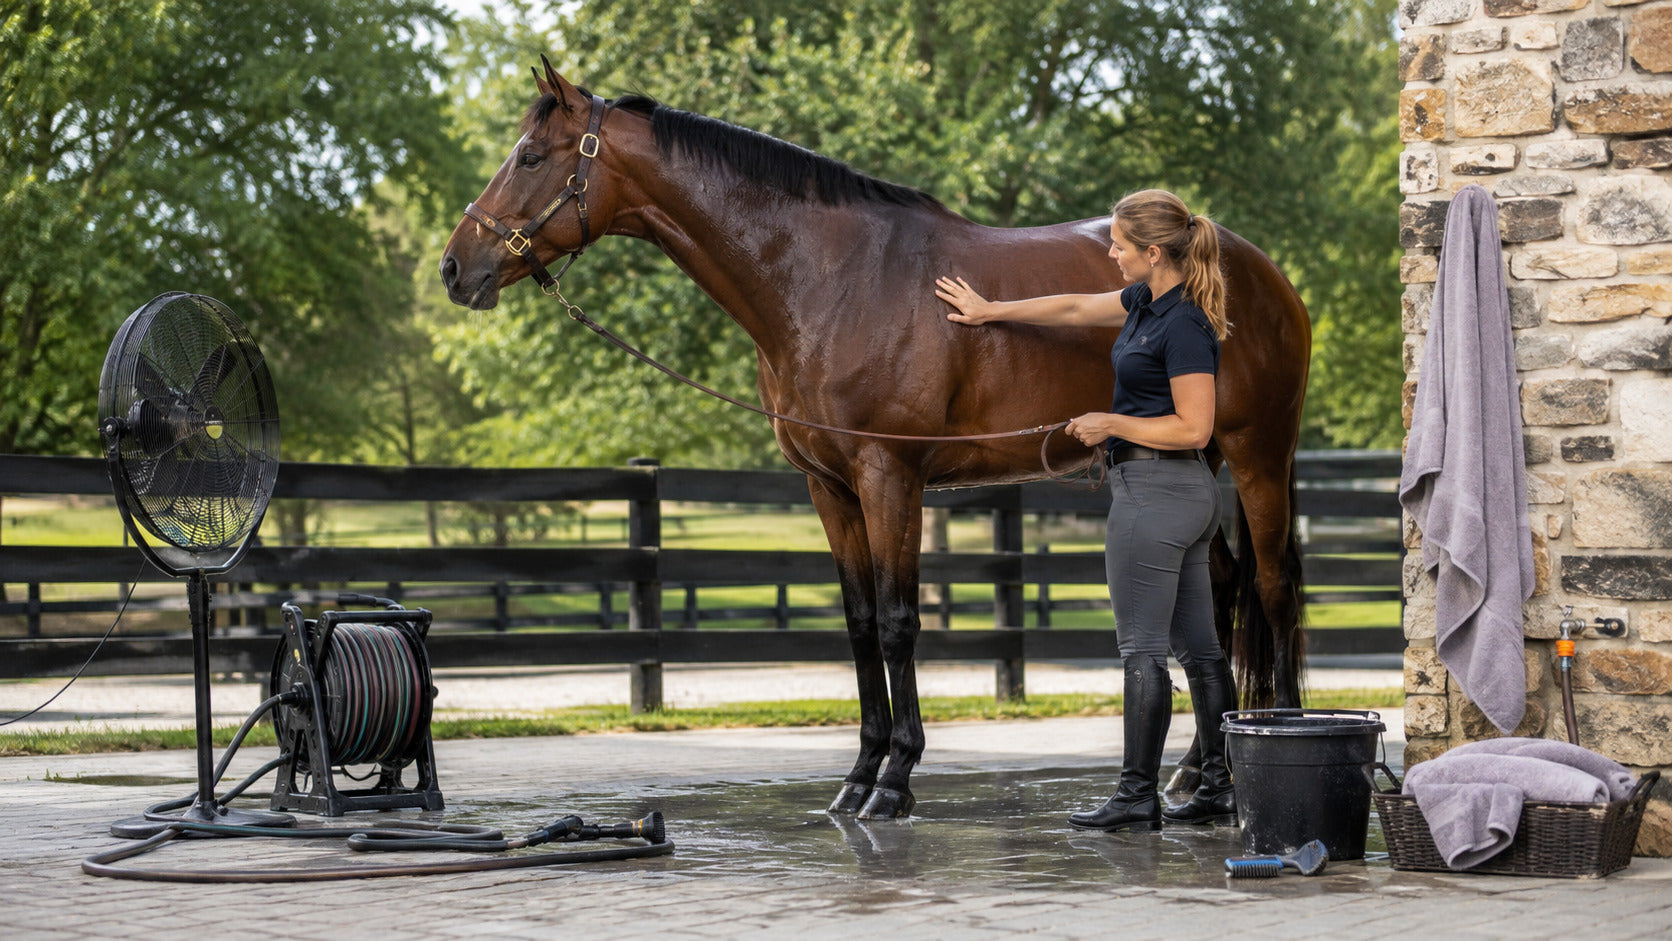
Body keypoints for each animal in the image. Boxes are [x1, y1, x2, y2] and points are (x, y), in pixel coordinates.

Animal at [441, 61, 1311, 820]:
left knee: (1272, 589)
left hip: (1258, 456)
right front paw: (857, 777)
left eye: (530, 156)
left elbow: (898, 621)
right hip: (1197, 459)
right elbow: (860, 622)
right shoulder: (828, 486)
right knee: (1218, 594)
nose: (455, 268)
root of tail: (1254, 268)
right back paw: (1198, 773)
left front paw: (895, 781)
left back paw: (1278, 742)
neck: (830, 278)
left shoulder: (889, 475)